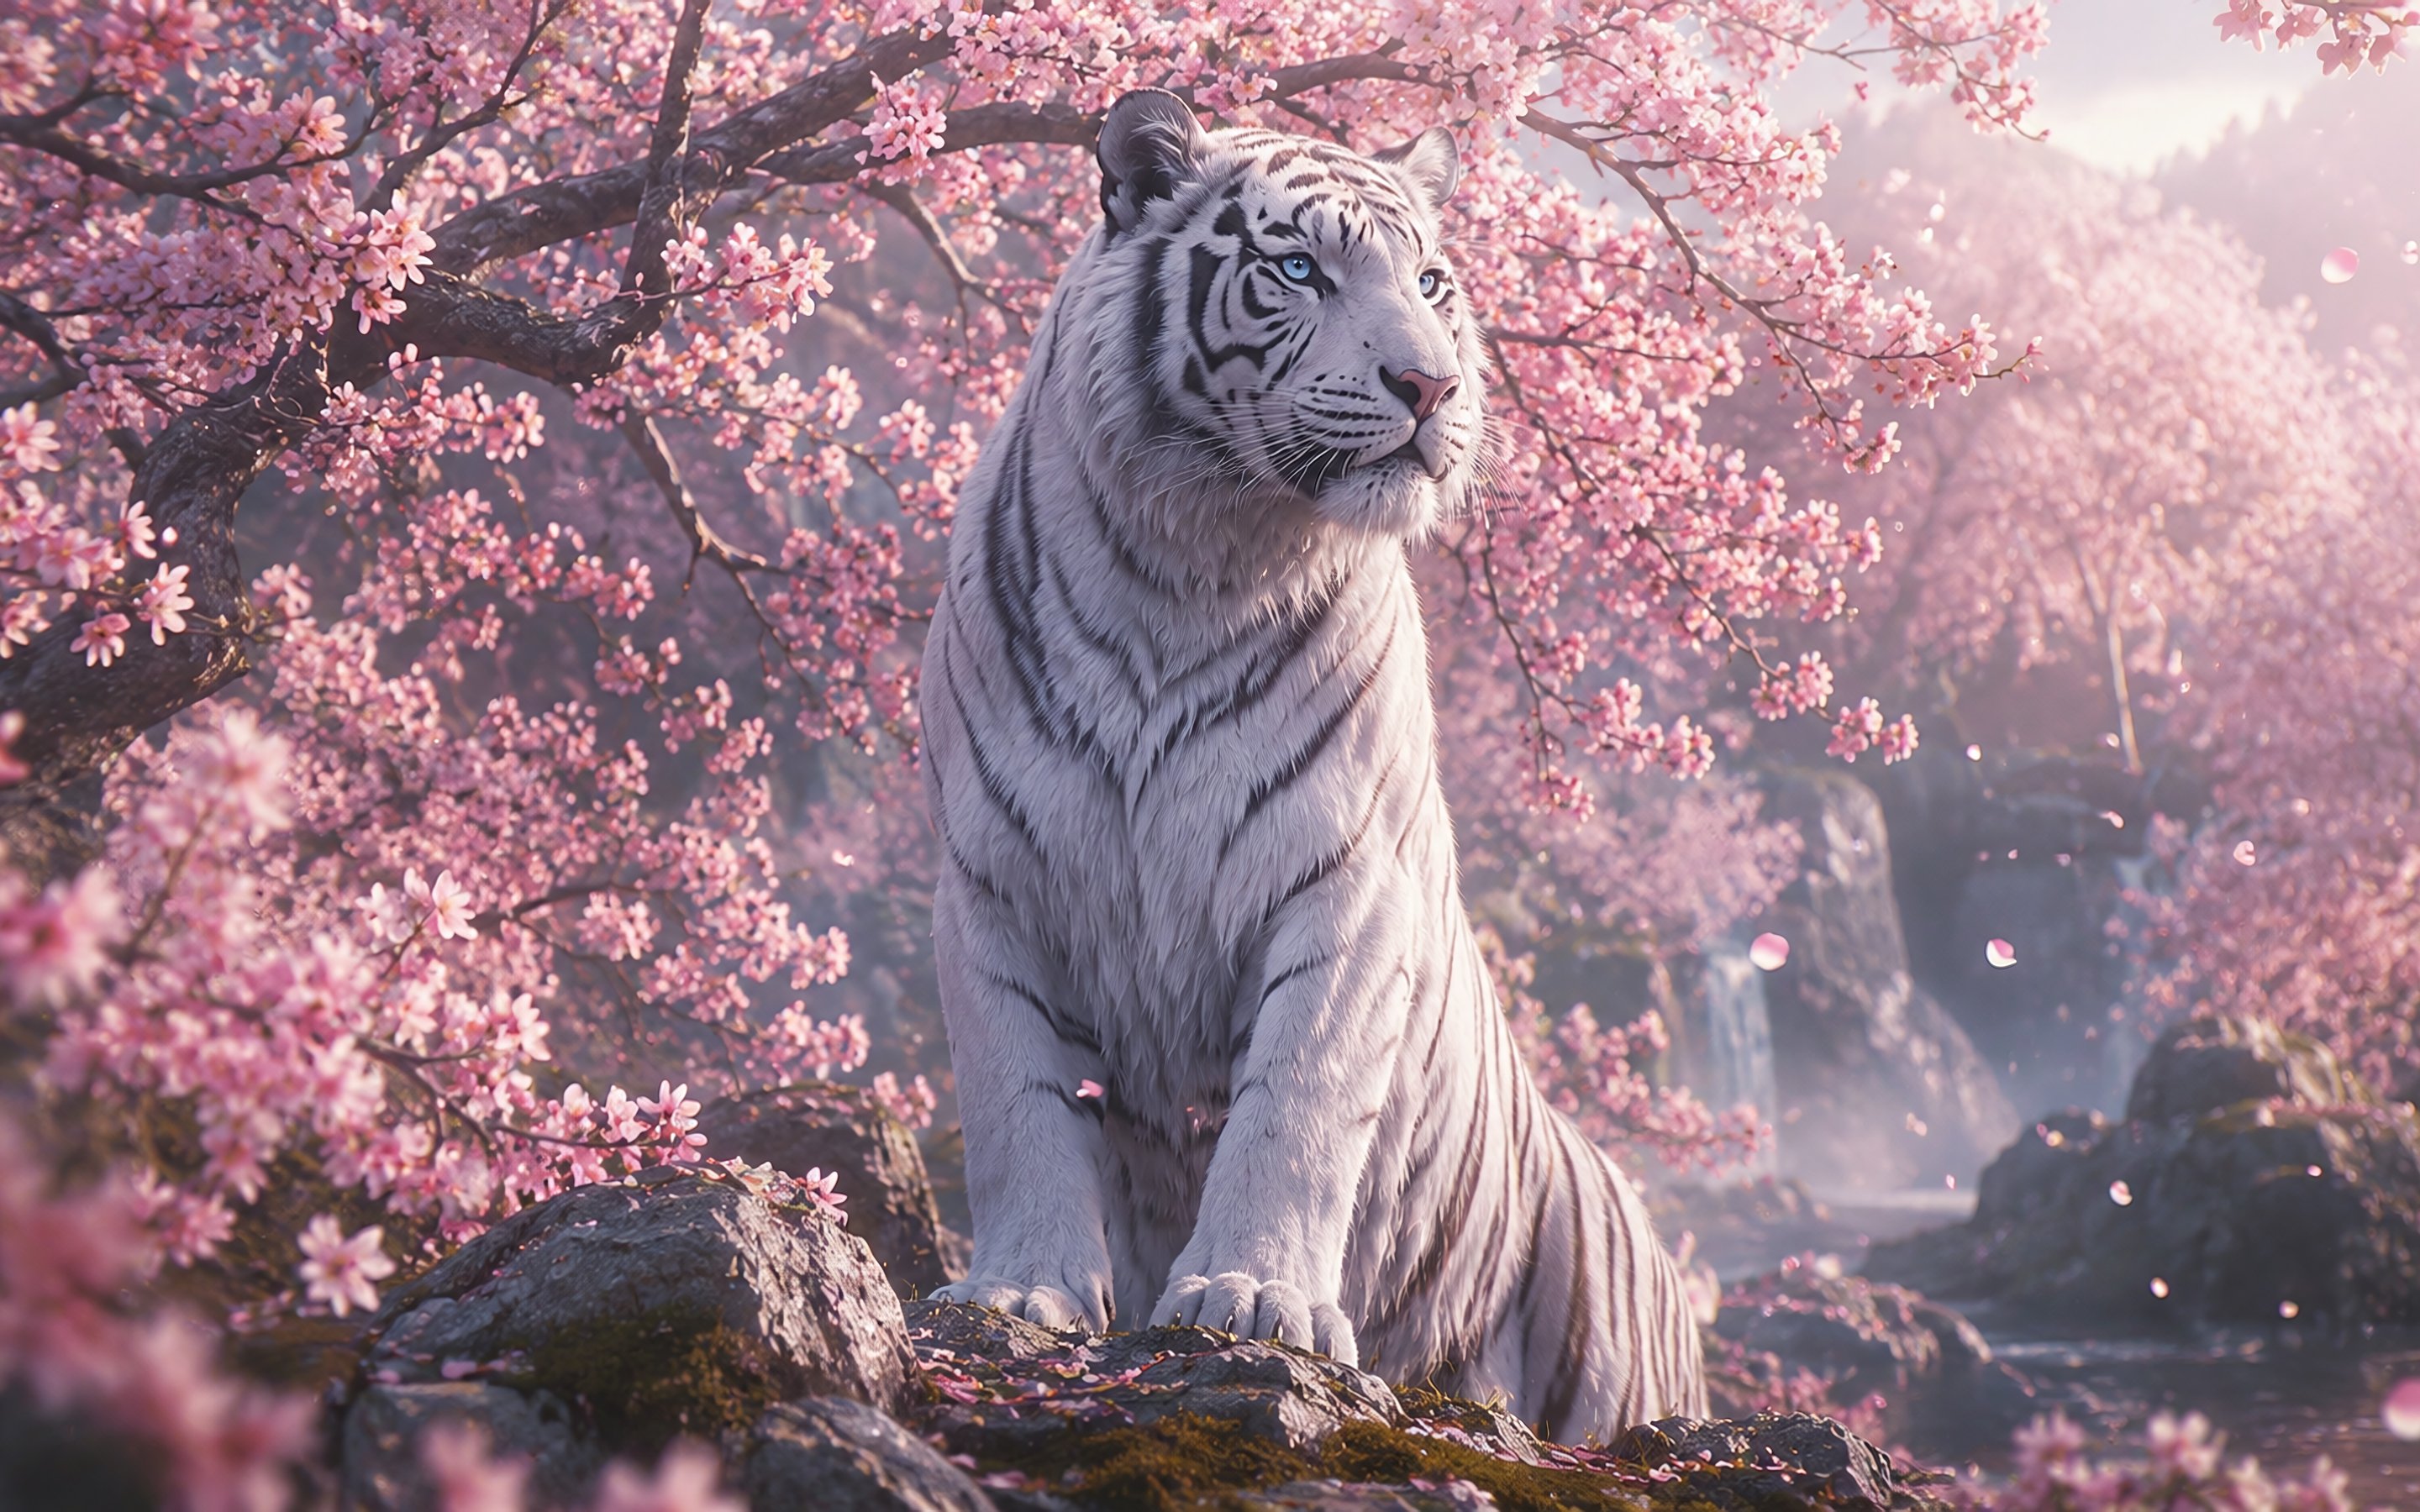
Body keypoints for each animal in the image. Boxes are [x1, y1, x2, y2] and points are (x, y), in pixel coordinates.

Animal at [918, 87, 1707, 1441]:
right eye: (1299, 269)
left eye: (1433, 280)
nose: (1431, 384)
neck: (1190, 560)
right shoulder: (990, 883)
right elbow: (1016, 1103)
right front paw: (1022, 1294)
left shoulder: (1346, 884)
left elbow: (1296, 1104)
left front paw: (1252, 1300)